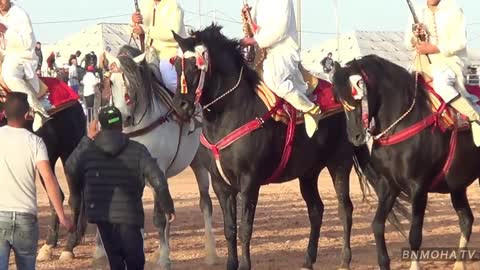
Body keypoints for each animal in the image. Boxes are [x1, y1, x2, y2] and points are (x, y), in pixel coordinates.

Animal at [91, 46, 218, 268]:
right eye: (110, 82)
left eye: (134, 84)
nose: (123, 117)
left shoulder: (155, 169)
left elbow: (158, 217)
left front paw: (164, 259)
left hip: (200, 164)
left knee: (205, 204)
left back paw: (209, 253)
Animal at [172, 24, 356, 270]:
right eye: (175, 65)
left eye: (196, 65)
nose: (180, 106)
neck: (233, 113)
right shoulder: (221, 185)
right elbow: (229, 230)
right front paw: (231, 264)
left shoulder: (250, 182)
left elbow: (245, 229)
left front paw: (244, 265)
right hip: (308, 173)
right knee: (316, 210)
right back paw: (308, 260)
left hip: (339, 164)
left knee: (345, 209)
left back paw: (345, 260)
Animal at [332, 53, 480, 268]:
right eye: (339, 99)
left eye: (359, 89)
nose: (355, 135)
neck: (403, 121)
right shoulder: (389, 185)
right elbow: (377, 225)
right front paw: (384, 262)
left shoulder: (418, 187)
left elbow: (415, 235)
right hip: (457, 186)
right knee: (466, 219)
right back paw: (459, 264)